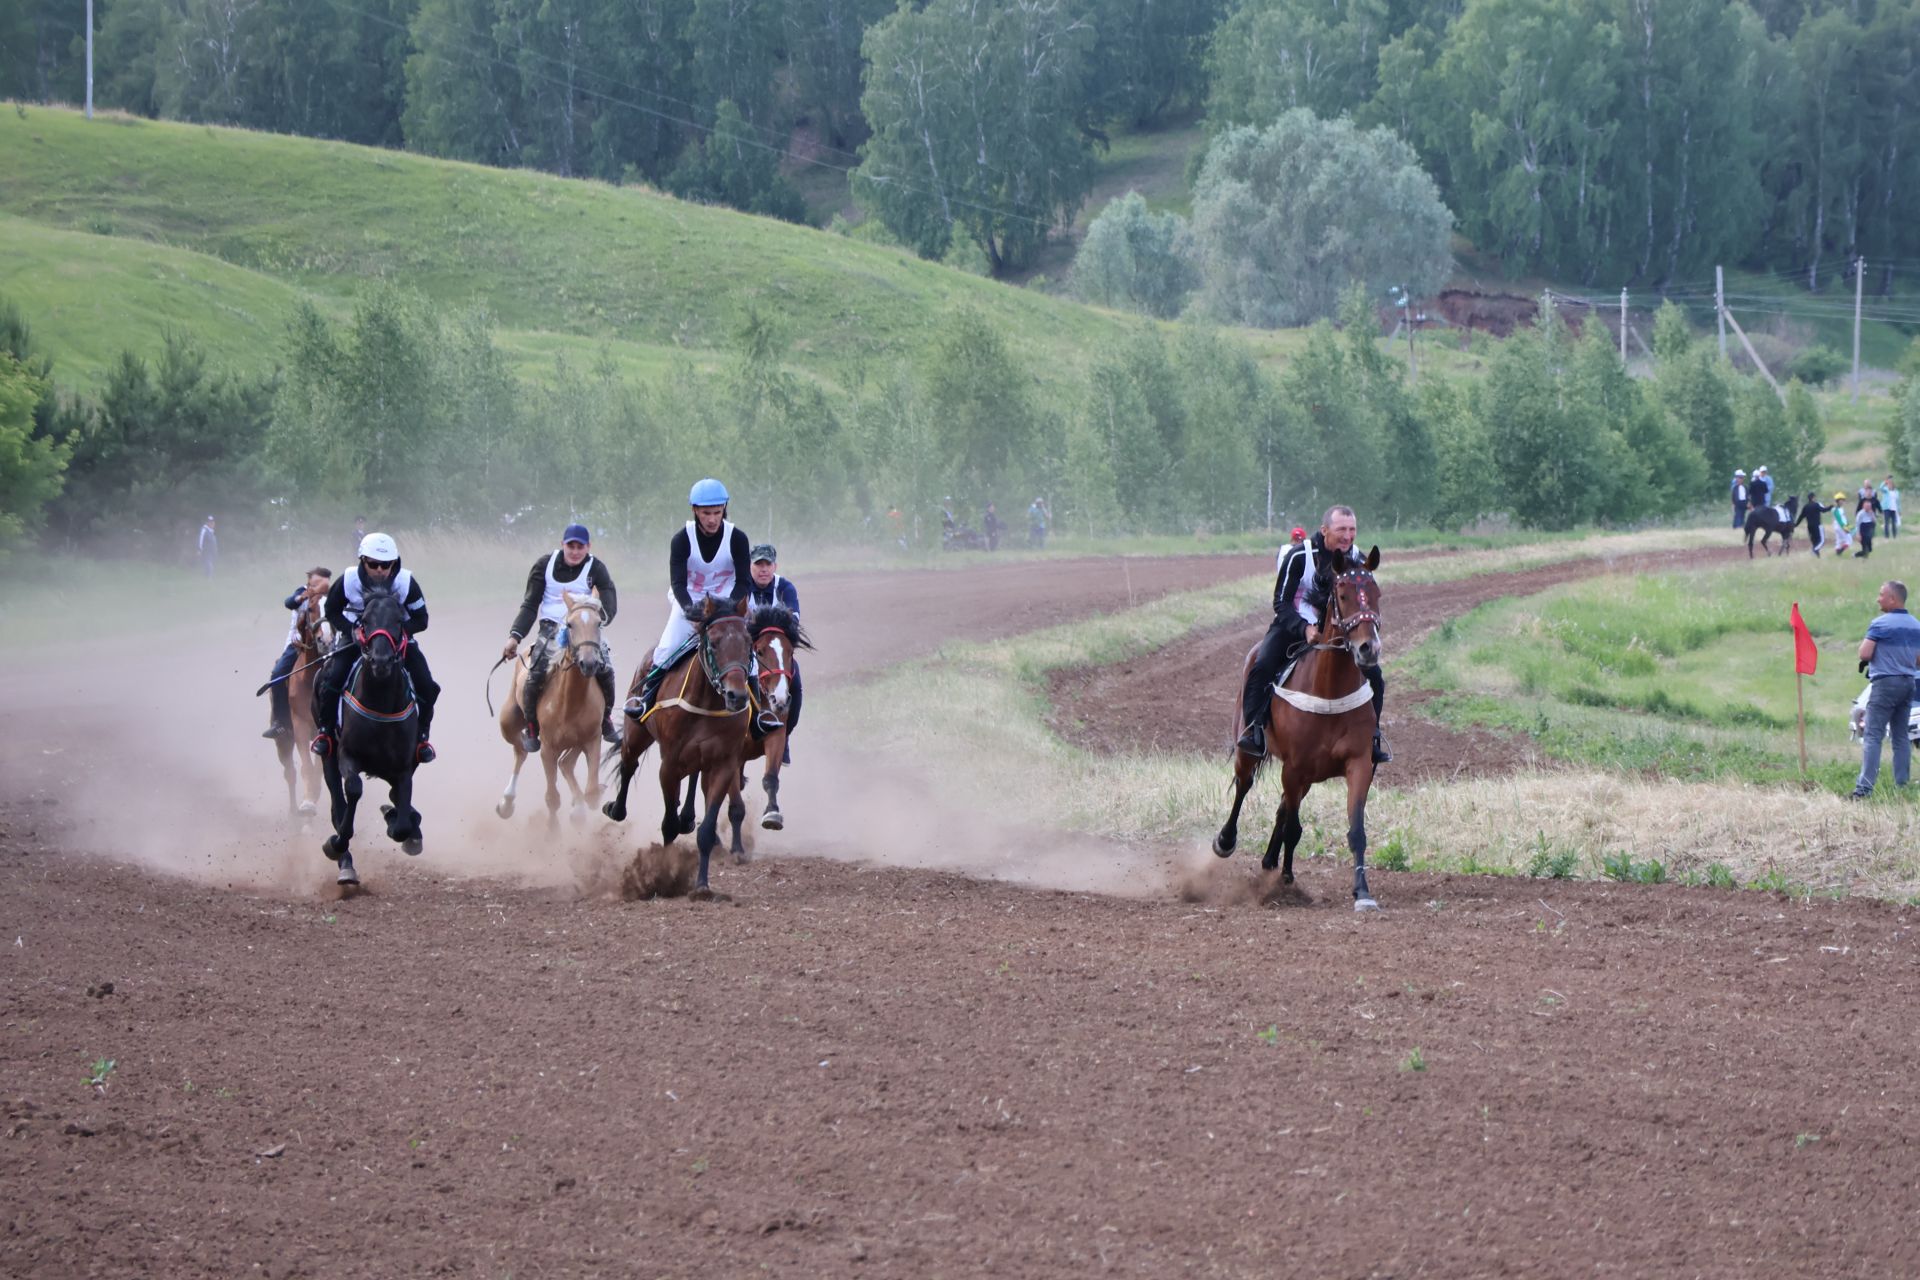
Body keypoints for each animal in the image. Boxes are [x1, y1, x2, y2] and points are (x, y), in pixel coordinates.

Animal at [318, 587, 424, 886]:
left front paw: (398, 821)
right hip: (327, 756)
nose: (380, 661)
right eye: (364, 621)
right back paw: (346, 866)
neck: (380, 702)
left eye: (399, 621)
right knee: (337, 804)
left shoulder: (403, 766)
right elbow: (353, 790)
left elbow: (402, 820)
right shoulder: (347, 755)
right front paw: (336, 843)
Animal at [495, 591, 606, 832]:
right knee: (521, 751)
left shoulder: (592, 738)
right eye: (570, 624)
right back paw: (506, 803)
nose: (589, 663)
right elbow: (552, 797)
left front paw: (579, 810)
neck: (570, 703)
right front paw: (552, 832)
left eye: (599, 623)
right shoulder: (548, 747)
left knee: (566, 764)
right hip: (508, 722)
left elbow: (592, 793)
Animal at [602, 594, 752, 898]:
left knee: (692, 778)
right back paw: (616, 809)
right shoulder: (668, 765)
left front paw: (702, 885)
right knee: (628, 765)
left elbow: (706, 831)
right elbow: (668, 824)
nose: (737, 696)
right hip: (636, 731)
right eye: (714, 642)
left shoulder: (723, 764)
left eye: (748, 641)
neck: (707, 702)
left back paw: (688, 817)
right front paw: (662, 876)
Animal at [1213, 548, 1382, 909]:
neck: (1329, 690)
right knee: (1244, 786)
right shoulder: (1294, 767)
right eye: (1343, 595)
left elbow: (1356, 830)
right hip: (1250, 751)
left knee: (1281, 808)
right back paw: (1227, 841)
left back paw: (1269, 861)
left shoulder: (1359, 763)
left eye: (1376, 593)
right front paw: (1286, 882)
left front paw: (1362, 892)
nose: (1368, 649)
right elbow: (1293, 828)